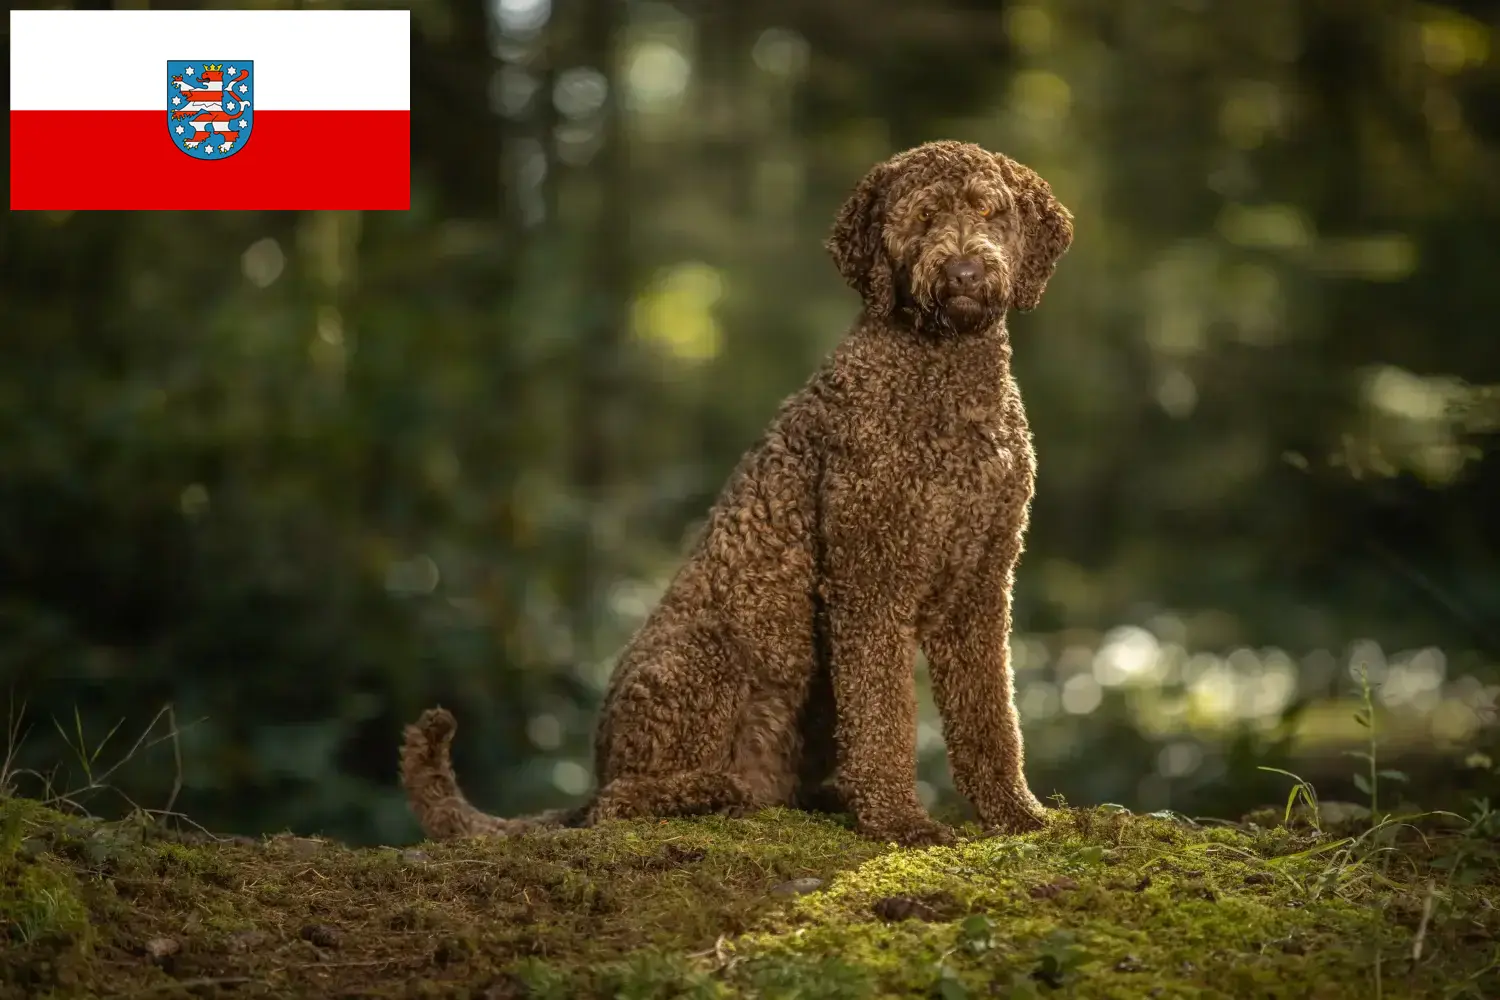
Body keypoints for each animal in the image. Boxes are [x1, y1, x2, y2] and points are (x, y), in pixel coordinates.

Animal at [405, 138, 1074, 845]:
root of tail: (590, 777)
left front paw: (1016, 813)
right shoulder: (869, 582)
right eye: (923, 216)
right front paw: (900, 820)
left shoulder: (981, 584)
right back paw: (718, 790)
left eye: (990, 210)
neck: (945, 375)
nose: (967, 271)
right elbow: (884, 718)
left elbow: (991, 715)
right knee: (621, 801)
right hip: (705, 664)